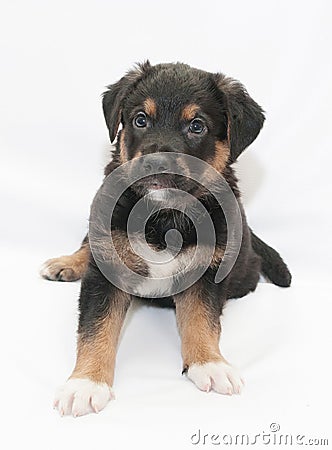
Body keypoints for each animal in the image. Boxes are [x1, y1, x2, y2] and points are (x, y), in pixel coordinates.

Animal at [40, 61, 290, 416]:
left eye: (197, 126)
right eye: (140, 119)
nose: (156, 163)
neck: (162, 217)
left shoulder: (208, 271)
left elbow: (202, 321)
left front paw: (210, 364)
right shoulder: (106, 267)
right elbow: (95, 329)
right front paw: (85, 384)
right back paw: (67, 263)